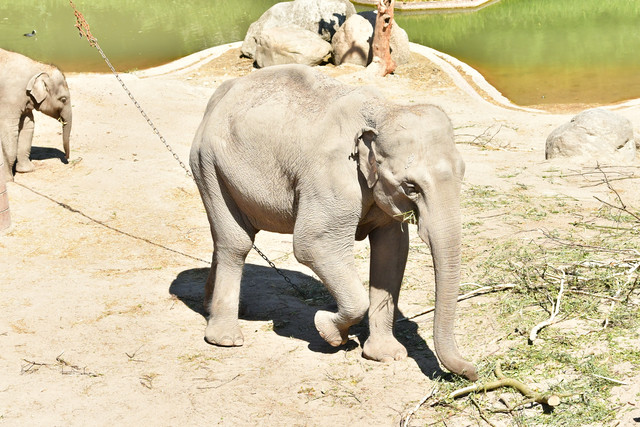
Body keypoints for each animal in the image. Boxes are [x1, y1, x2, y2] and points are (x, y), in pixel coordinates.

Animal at [0, 48, 72, 182]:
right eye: (63, 99)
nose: (67, 158)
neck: (37, 67)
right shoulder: (10, 98)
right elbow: (9, 131)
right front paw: (8, 179)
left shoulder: (24, 101)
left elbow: (28, 126)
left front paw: (27, 170)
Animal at [190, 64, 477, 381]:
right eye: (411, 186)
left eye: (463, 173)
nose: (473, 372)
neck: (382, 110)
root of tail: (217, 99)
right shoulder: (331, 177)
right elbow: (313, 245)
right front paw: (329, 331)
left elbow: (392, 251)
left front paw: (386, 356)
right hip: (209, 166)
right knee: (236, 243)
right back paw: (226, 338)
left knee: (222, 238)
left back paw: (209, 307)